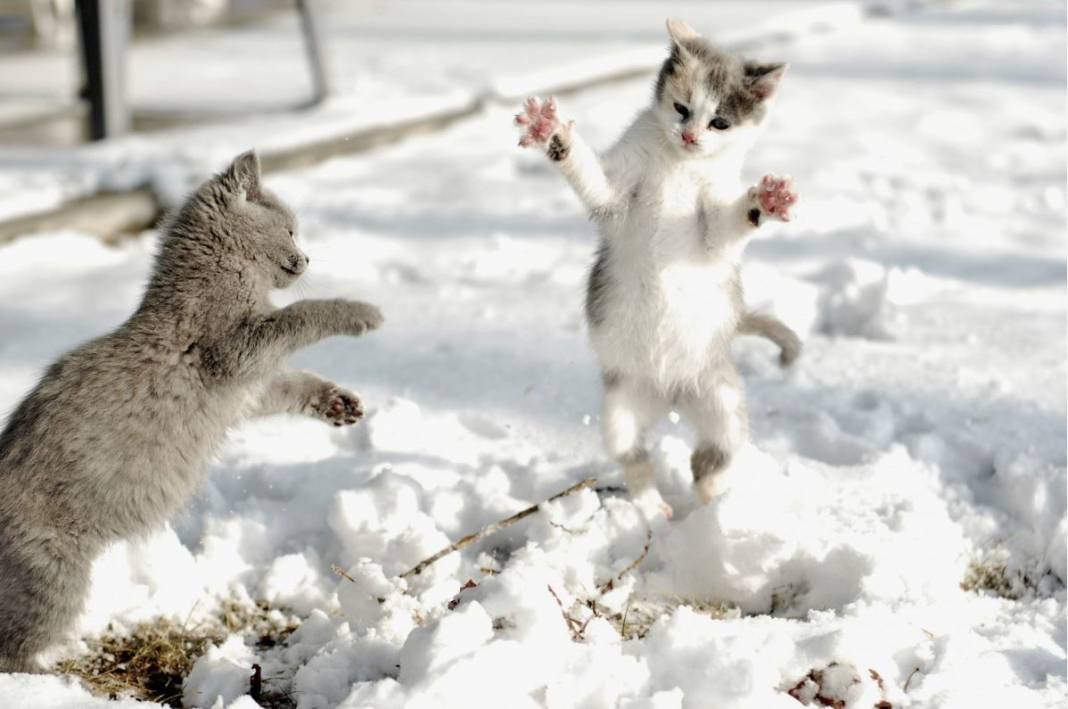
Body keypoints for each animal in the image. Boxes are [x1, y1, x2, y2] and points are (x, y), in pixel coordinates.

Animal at [0, 152, 384, 674]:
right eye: (289, 230)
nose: (307, 258)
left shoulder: (249, 388)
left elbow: (294, 382)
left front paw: (338, 402)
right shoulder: (234, 352)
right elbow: (300, 314)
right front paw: (359, 311)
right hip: (51, 576)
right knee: (11, 648)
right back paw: (48, 681)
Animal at [516, 19, 803, 518]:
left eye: (720, 121)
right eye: (681, 107)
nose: (689, 136)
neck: (680, 166)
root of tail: (669, 393)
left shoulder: (713, 222)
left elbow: (724, 230)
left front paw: (765, 202)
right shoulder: (617, 189)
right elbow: (594, 182)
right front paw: (550, 131)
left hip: (723, 399)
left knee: (710, 457)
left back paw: (713, 506)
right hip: (620, 407)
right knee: (635, 457)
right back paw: (653, 507)